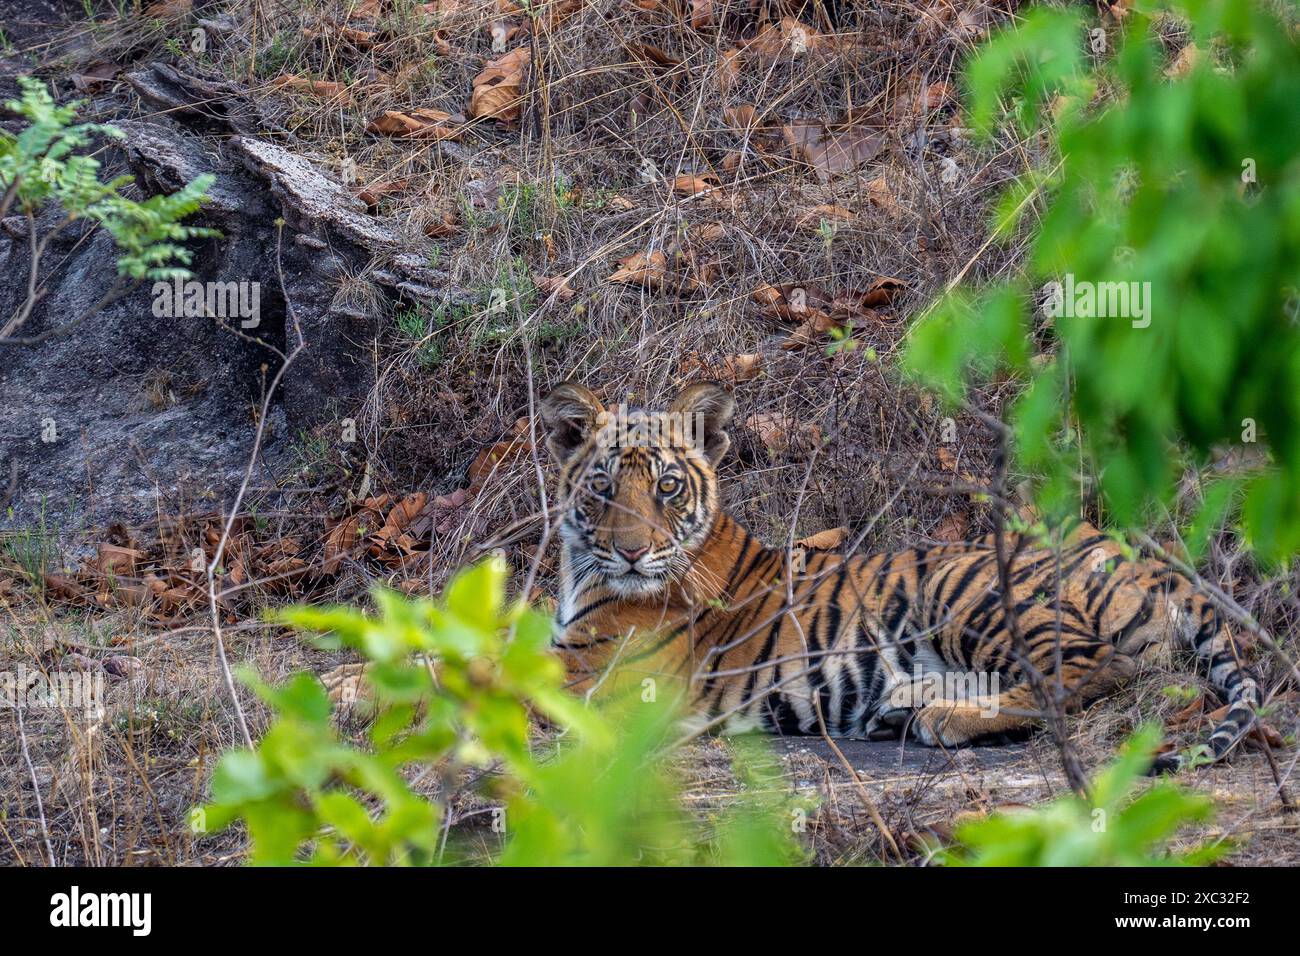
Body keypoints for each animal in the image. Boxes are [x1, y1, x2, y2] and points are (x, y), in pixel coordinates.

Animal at [538, 377, 1258, 775]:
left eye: (666, 487)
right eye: (602, 487)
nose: (633, 553)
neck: (583, 572)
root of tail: (1147, 559)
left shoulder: (595, 678)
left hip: (965, 589)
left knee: (1094, 668)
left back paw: (943, 719)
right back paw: (904, 706)